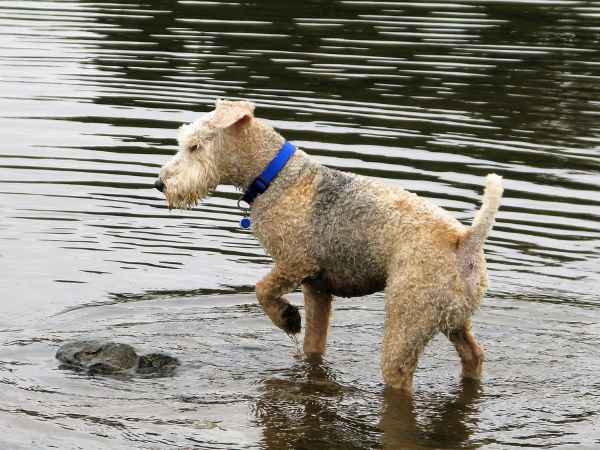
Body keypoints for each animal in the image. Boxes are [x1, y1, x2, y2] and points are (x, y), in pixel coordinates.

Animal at [155, 97, 502, 390]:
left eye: (195, 146)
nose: (160, 184)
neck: (275, 177)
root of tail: (466, 240)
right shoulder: (317, 287)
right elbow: (314, 344)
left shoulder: (295, 262)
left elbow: (262, 290)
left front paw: (288, 318)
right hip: (453, 318)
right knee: (474, 355)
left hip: (409, 318)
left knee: (401, 373)